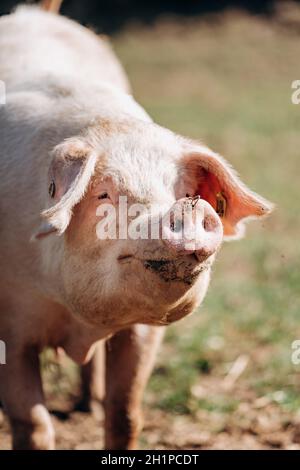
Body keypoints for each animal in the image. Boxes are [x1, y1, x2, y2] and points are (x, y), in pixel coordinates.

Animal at [0, 4, 274, 452]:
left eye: (184, 190)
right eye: (104, 194)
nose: (188, 207)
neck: (73, 312)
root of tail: (33, 12)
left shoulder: (143, 332)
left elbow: (126, 413)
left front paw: (107, 413)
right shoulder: (9, 327)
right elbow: (33, 424)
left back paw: (87, 407)